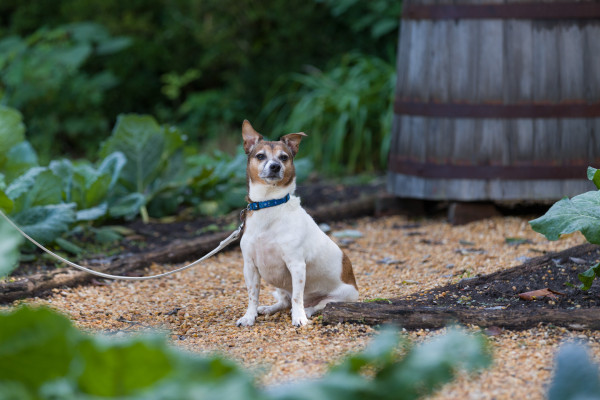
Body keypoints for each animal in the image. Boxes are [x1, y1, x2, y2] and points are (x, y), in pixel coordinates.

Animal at [234, 120, 356, 326]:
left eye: (284, 157)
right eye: (260, 156)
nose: (275, 166)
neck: (270, 203)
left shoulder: (297, 265)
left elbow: (297, 297)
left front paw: (299, 318)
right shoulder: (250, 267)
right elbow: (252, 296)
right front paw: (249, 317)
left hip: (340, 296)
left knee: (315, 305)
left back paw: (306, 311)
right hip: (281, 287)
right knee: (284, 301)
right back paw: (268, 309)